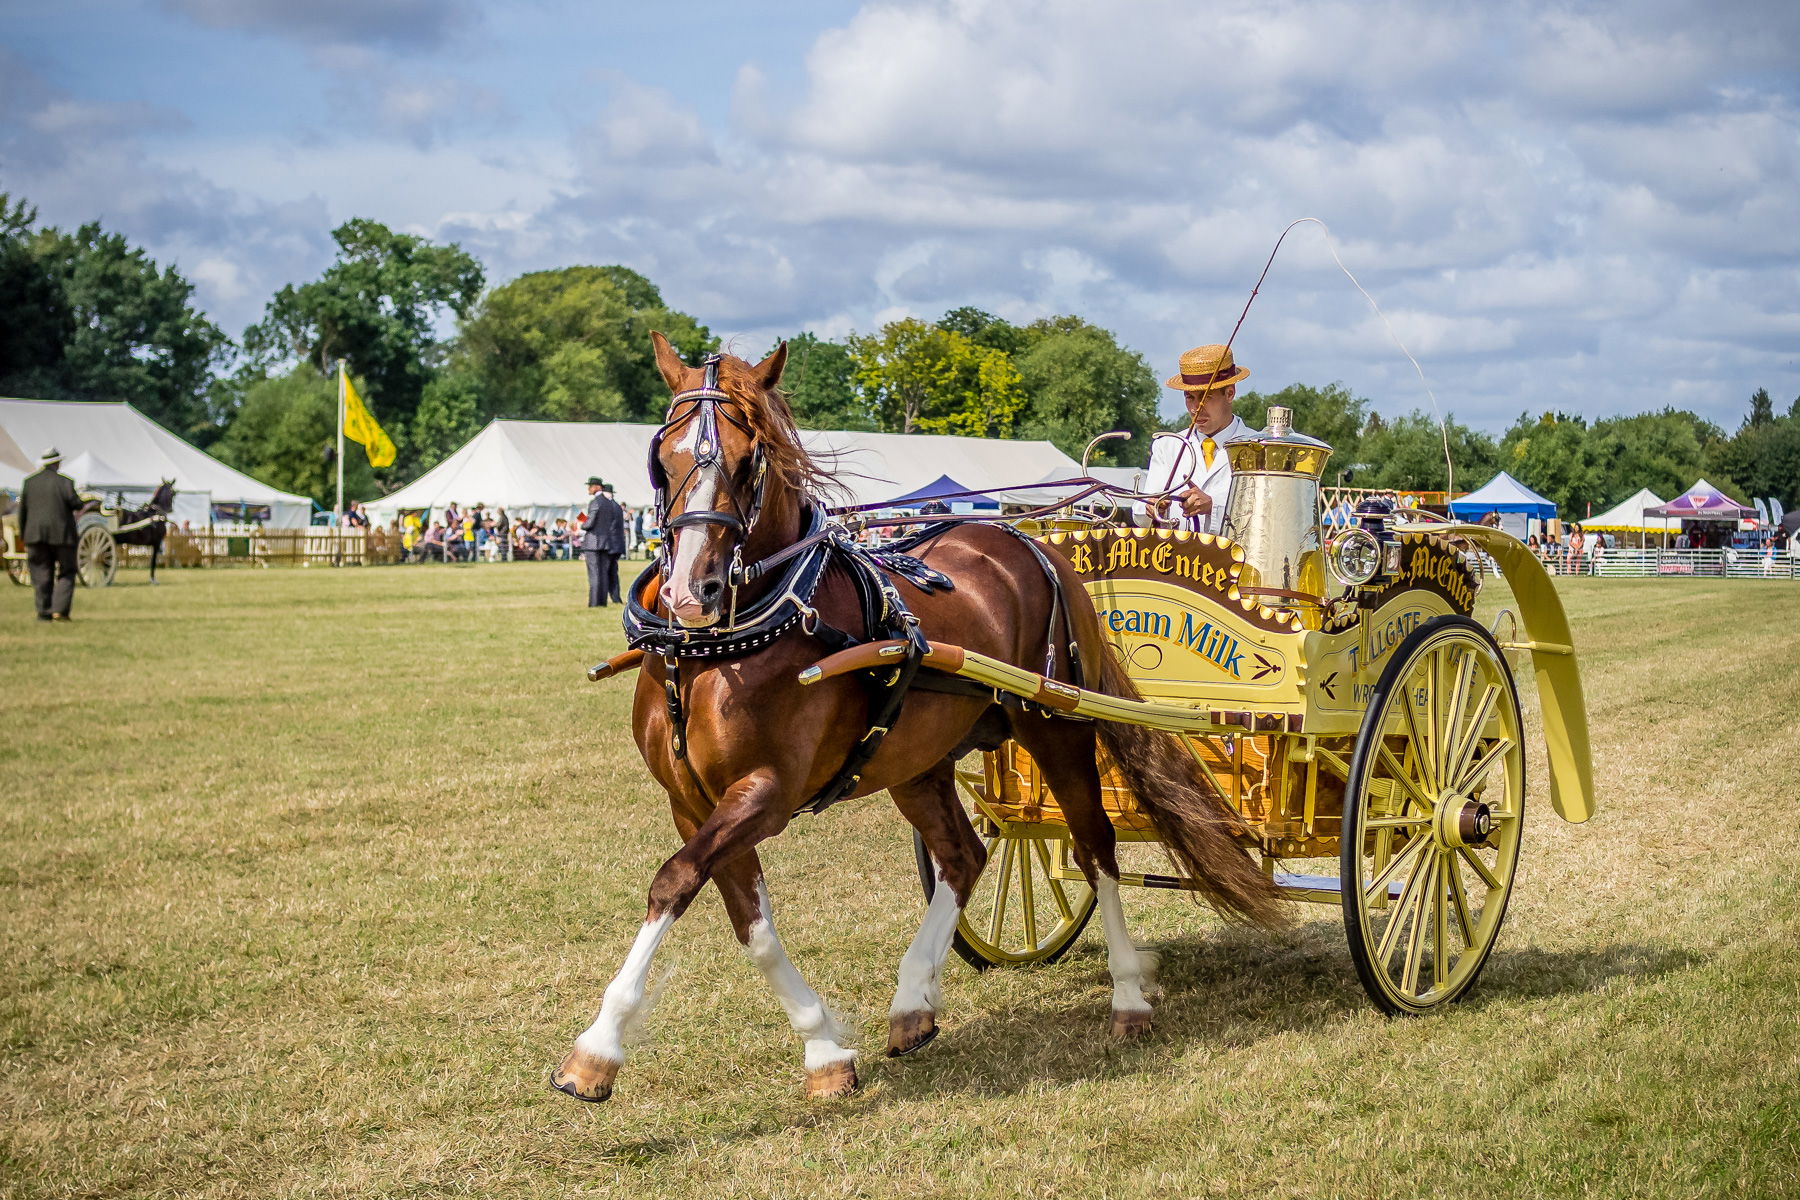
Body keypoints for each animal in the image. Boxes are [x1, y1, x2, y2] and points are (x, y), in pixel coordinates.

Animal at [547, 338, 1281, 1108]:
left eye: (753, 461)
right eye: (662, 457)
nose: (695, 591)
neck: (723, 647)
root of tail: (1033, 542)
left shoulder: (766, 792)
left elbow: (674, 882)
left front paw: (597, 1047)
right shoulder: (692, 802)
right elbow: (746, 922)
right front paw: (823, 1048)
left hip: (1055, 727)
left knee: (1094, 847)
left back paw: (1128, 996)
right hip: (918, 758)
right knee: (967, 855)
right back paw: (913, 1004)